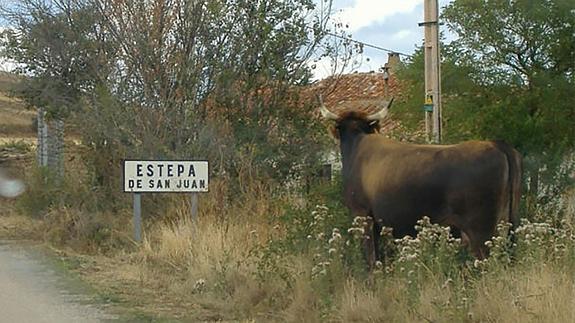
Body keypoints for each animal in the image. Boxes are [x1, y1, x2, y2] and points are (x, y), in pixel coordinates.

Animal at [322, 100, 524, 268]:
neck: (357, 146)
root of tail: (497, 144)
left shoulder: (363, 216)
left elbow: (371, 259)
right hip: (507, 223)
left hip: (481, 229)